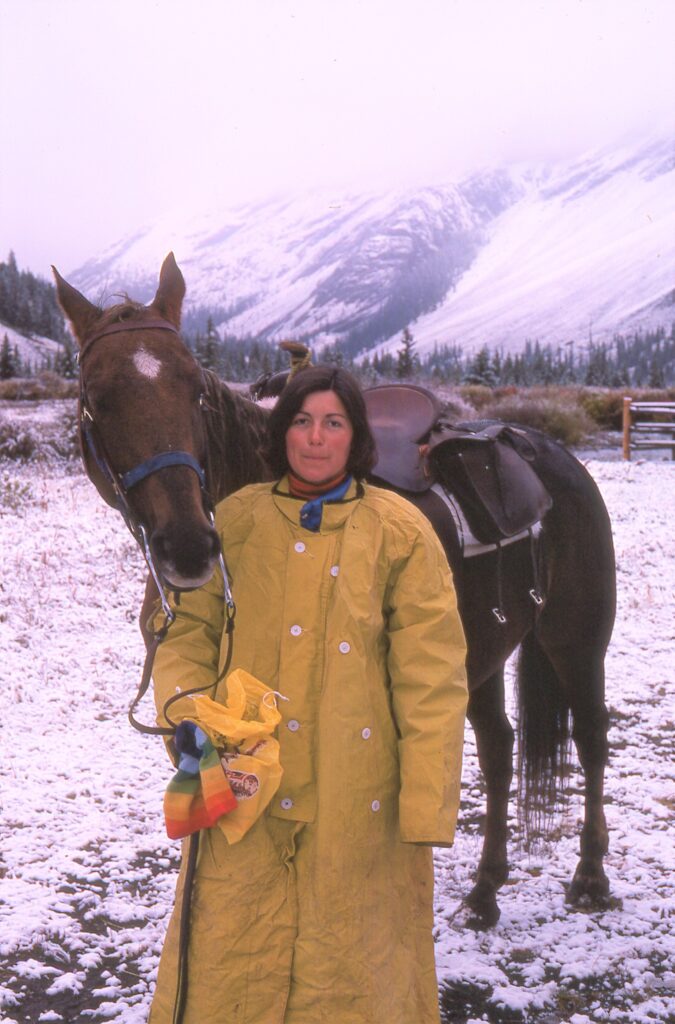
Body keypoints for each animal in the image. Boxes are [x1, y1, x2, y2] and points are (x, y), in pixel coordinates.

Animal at [54, 253, 618, 929]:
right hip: (476, 651)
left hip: (576, 638)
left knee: (590, 737)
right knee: (499, 747)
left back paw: (590, 876)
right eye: (96, 398)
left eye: (196, 388)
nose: (188, 547)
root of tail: (553, 453)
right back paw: (485, 890)